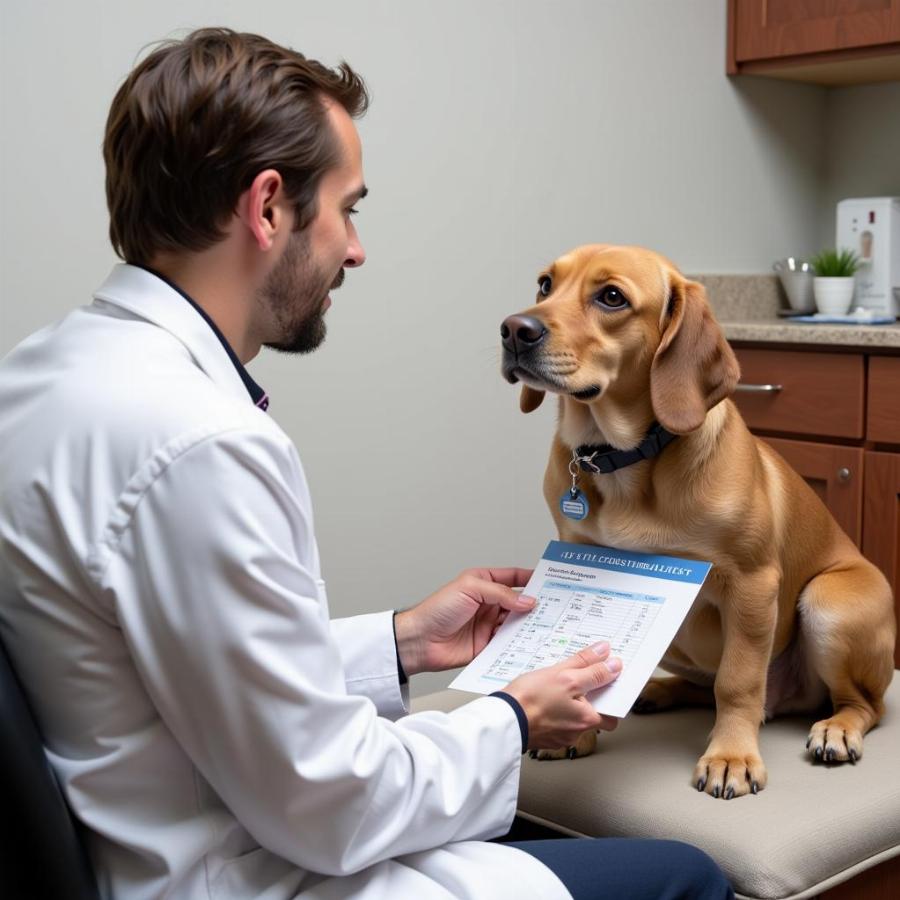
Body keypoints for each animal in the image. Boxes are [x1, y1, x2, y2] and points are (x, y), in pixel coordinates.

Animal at [502, 246, 896, 800]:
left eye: (612, 297)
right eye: (544, 285)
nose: (514, 330)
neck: (623, 460)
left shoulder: (753, 585)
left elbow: (738, 682)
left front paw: (731, 756)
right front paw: (573, 730)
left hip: (827, 604)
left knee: (864, 705)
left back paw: (836, 730)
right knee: (702, 687)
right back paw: (657, 691)